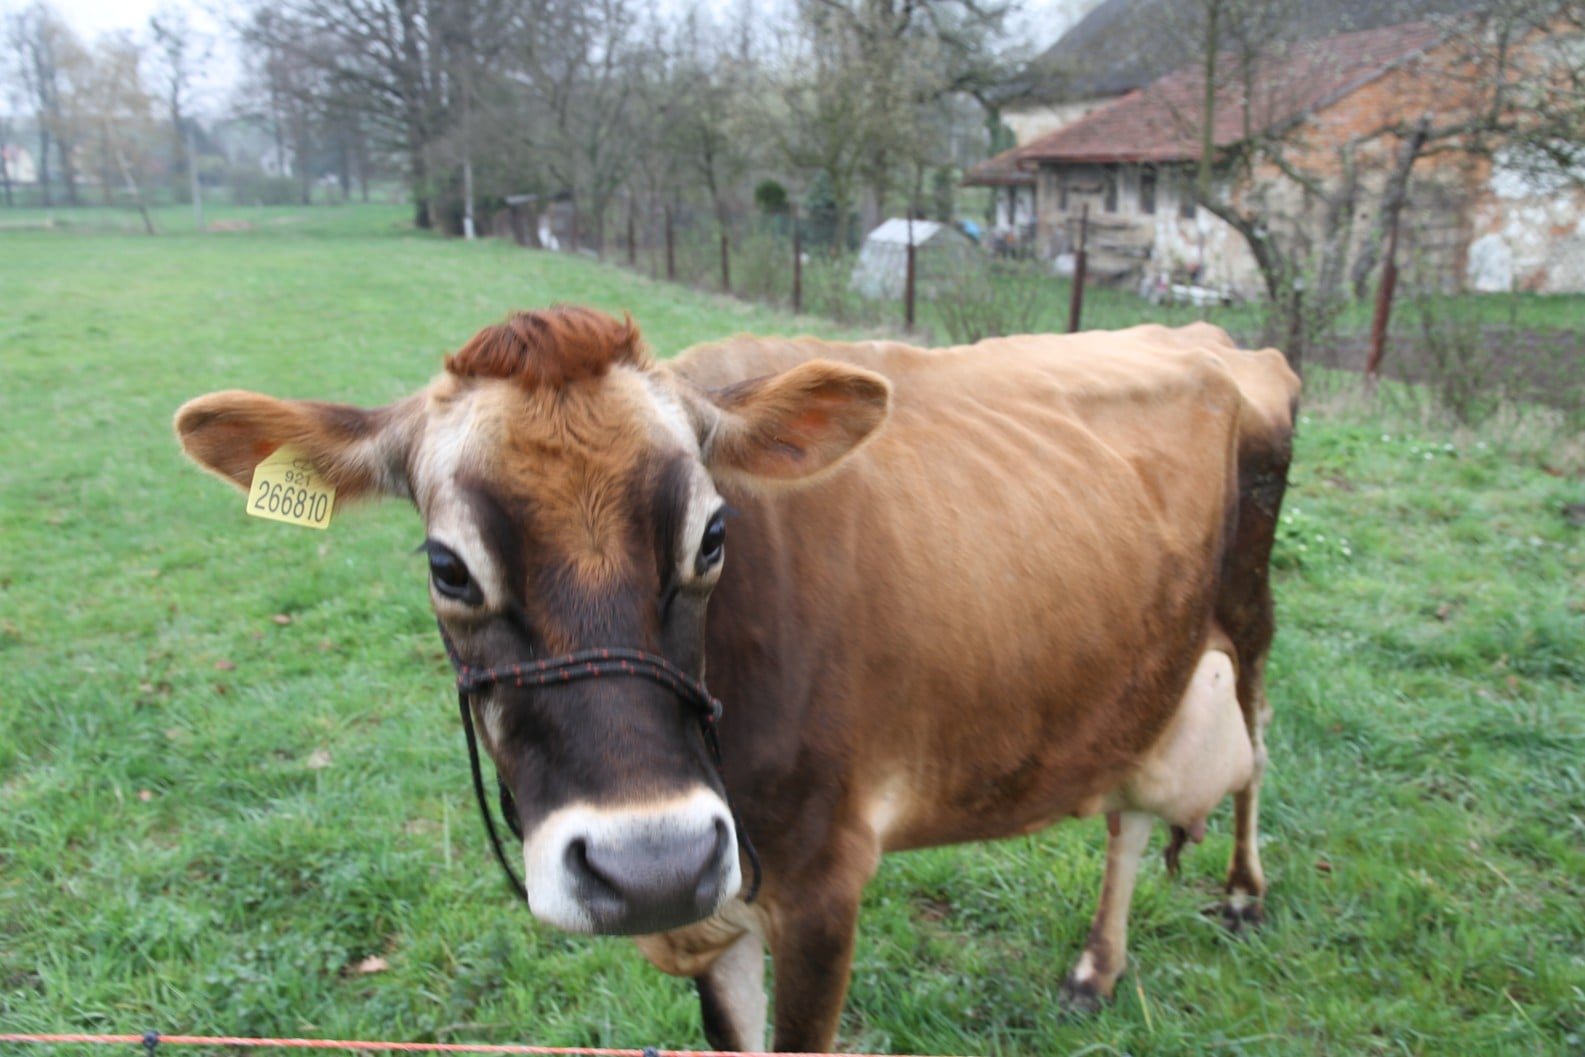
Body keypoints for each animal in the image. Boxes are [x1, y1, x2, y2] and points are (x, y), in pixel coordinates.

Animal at [176, 305, 1299, 1052]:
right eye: (447, 566)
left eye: (713, 535)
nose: (649, 862)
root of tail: (1216, 339)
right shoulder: (713, 901)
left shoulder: (822, 880)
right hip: (1140, 660)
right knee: (1130, 808)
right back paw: (1096, 965)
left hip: (1246, 611)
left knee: (1255, 733)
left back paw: (1246, 892)